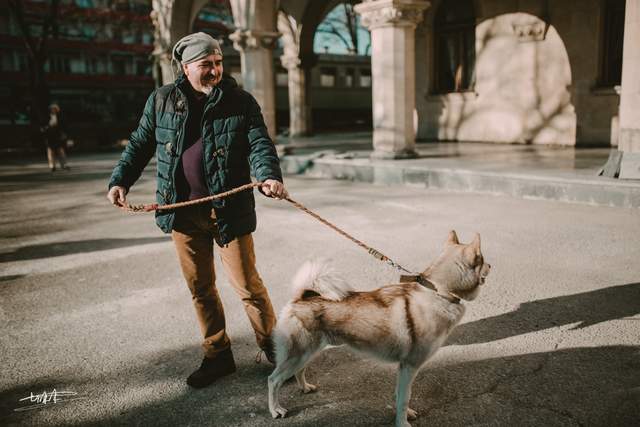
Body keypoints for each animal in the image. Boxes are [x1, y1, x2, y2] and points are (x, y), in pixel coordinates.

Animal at [268, 232, 492, 426]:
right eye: (482, 259)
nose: (491, 265)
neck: (438, 291)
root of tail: (301, 297)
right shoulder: (409, 366)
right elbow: (404, 398)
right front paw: (402, 423)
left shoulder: (403, 368)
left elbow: (400, 395)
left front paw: (405, 414)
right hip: (299, 354)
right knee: (273, 380)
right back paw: (275, 410)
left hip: (308, 353)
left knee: (299, 371)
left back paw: (305, 388)